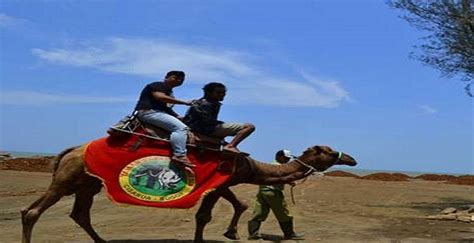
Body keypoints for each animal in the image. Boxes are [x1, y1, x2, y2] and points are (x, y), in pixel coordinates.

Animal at [21, 143, 356, 242]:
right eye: (328, 151)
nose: (351, 158)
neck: (248, 165)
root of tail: (69, 151)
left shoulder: (224, 183)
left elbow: (239, 203)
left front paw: (232, 233)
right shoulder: (220, 182)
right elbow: (203, 215)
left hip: (85, 184)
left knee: (76, 211)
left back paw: (103, 241)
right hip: (69, 178)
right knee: (36, 211)